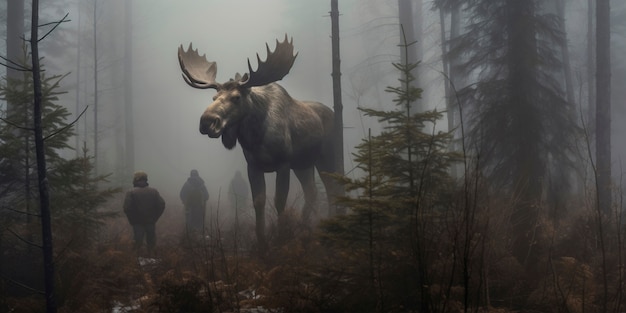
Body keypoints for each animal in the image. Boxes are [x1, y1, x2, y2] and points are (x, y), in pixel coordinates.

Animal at [177, 34, 336, 249]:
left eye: (236, 97)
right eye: (214, 97)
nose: (207, 121)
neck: (256, 137)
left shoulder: (283, 163)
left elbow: (279, 201)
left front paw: (281, 237)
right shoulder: (253, 165)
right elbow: (258, 201)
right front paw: (262, 242)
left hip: (327, 156)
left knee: (332, 188)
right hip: (303, 164)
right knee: (312, 192)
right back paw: (303, 228)